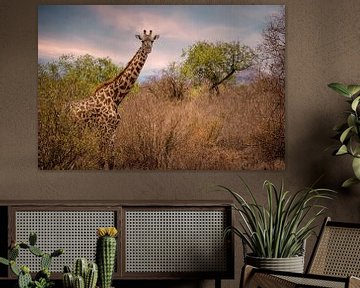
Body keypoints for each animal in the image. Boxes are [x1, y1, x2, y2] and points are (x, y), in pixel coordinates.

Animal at [69, 29, 160, 169]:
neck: (115, 98)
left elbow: (111, 161)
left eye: (152, 40)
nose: (148, 49)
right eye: (142, 40)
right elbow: (101, 161)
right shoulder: (103, 130)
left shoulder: (112, 131)